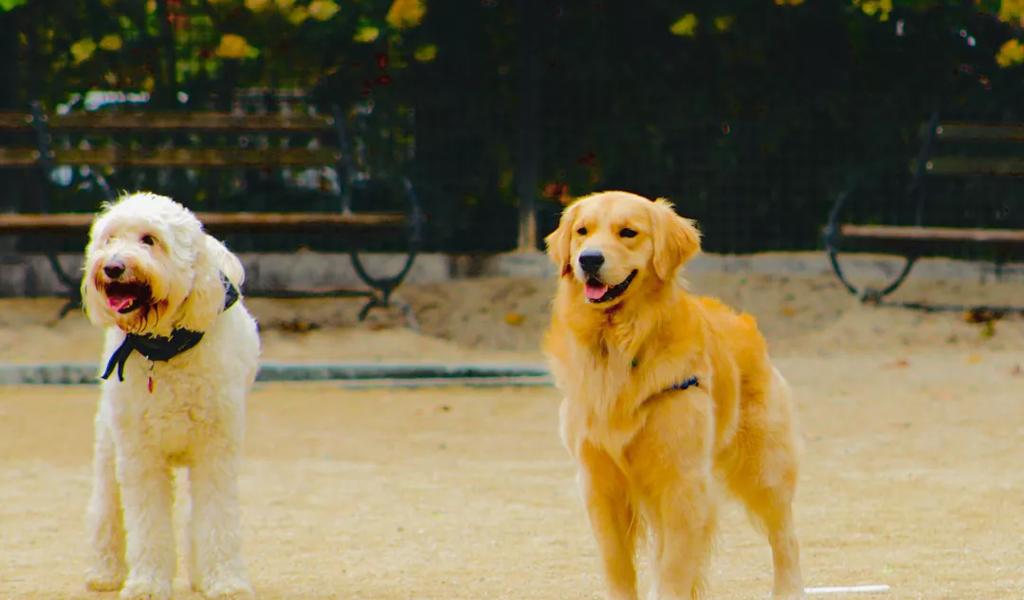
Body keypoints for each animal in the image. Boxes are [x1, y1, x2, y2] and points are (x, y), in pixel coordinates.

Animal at [82, 191, 262, 597]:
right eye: (110, 239)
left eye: (150, 240)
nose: (112, 267)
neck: (164, 349)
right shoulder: (139, 455)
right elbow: (148, 525)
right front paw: (147, 583)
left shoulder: (215, 452)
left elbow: (217, 520)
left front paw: (225, 581)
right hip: (108, 442)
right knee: (105, 508)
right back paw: (103, 571)